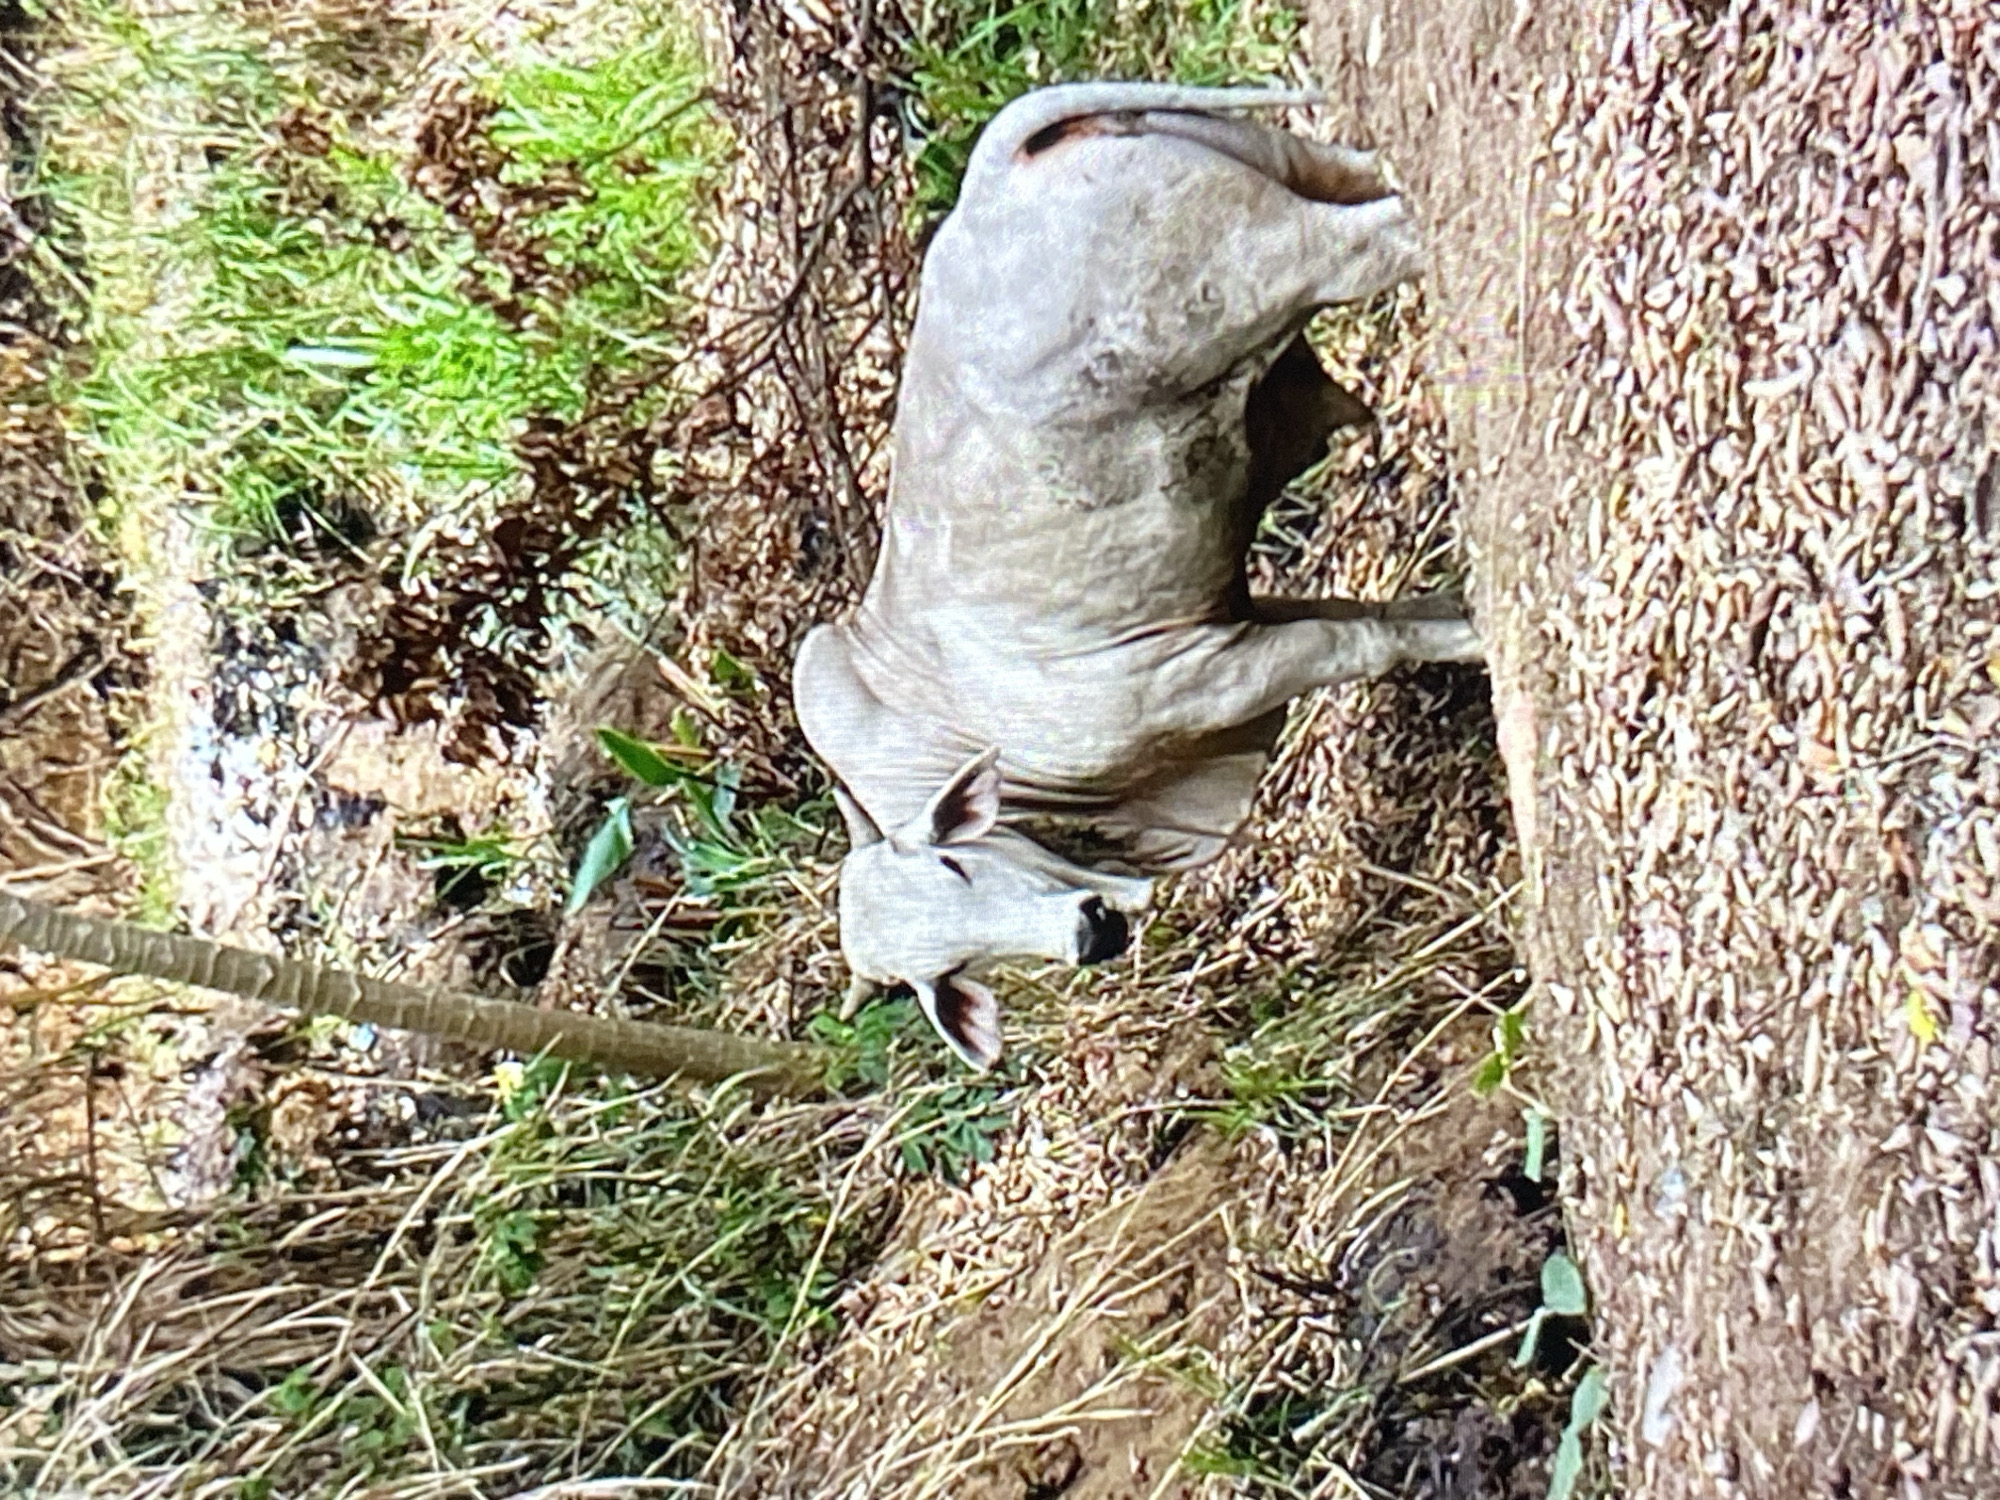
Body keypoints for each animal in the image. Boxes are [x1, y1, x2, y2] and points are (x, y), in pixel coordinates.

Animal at [793, 82, 1483, 1069]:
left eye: (958, 862)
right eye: (944, 978)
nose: (1090, 934)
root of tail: (993, 177)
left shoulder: (1202, 672)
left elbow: (1367, 642)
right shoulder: (1237, 620)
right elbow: (1390, 618)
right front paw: (1464, 618)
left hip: (1289, 262)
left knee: (1391, 232)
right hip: (1295, 168)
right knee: (1371, 170)